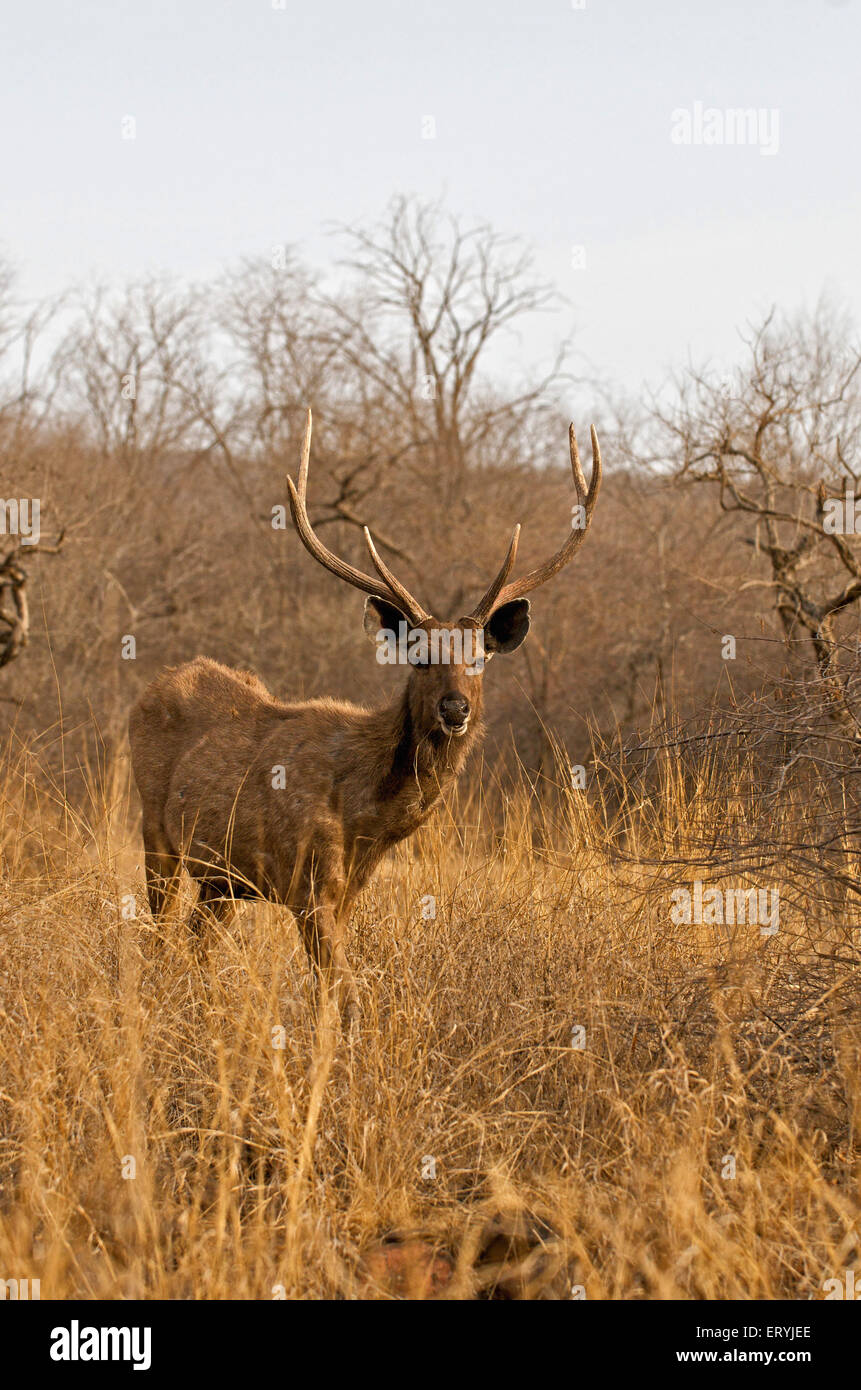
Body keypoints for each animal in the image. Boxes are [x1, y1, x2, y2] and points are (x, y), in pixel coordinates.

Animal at [127, 405, 603, 1028]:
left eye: (479, 656)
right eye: (419, 655)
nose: (456, 708)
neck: (367, 814)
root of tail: (149, 689)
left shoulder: (348, 887)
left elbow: (334, 994)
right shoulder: (308, 883)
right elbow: (345, 998)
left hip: (222, 879)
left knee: (192, 942)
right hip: (156, 833)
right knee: (157, 937)